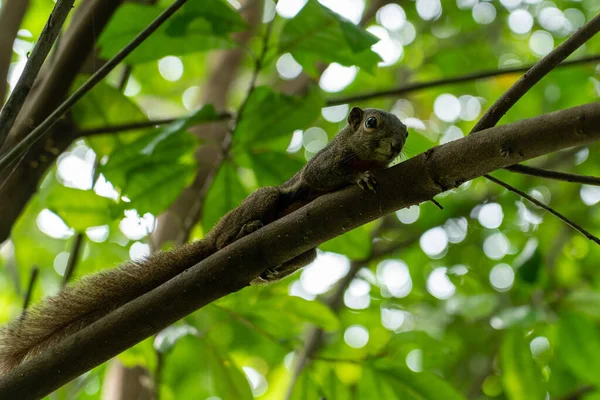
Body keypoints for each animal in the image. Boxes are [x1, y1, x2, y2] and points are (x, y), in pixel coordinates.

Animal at [0, 107, 408, 376]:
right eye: (372, 123)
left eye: (405, 135)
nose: (394, 146)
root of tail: (210, 235)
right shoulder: (321, 165)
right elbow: (322, 177)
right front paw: (357, 179)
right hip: (262, 199)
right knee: (230, 235)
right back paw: (239, 234)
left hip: (306, 251)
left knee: (304, 256)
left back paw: (268, 271)